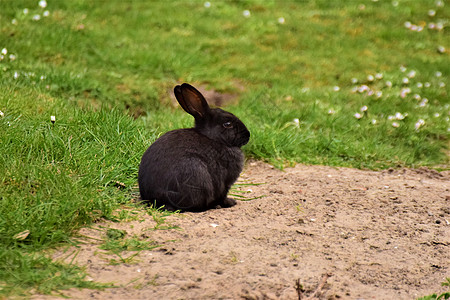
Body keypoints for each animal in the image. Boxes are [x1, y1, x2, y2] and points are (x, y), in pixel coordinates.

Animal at [137, 83, 250, 212]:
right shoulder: (224, 182)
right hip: (196, 174)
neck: (213, 138)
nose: (248, 135)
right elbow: (222, 195)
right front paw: (230, 202)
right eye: (227, 124)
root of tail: (158, 200)